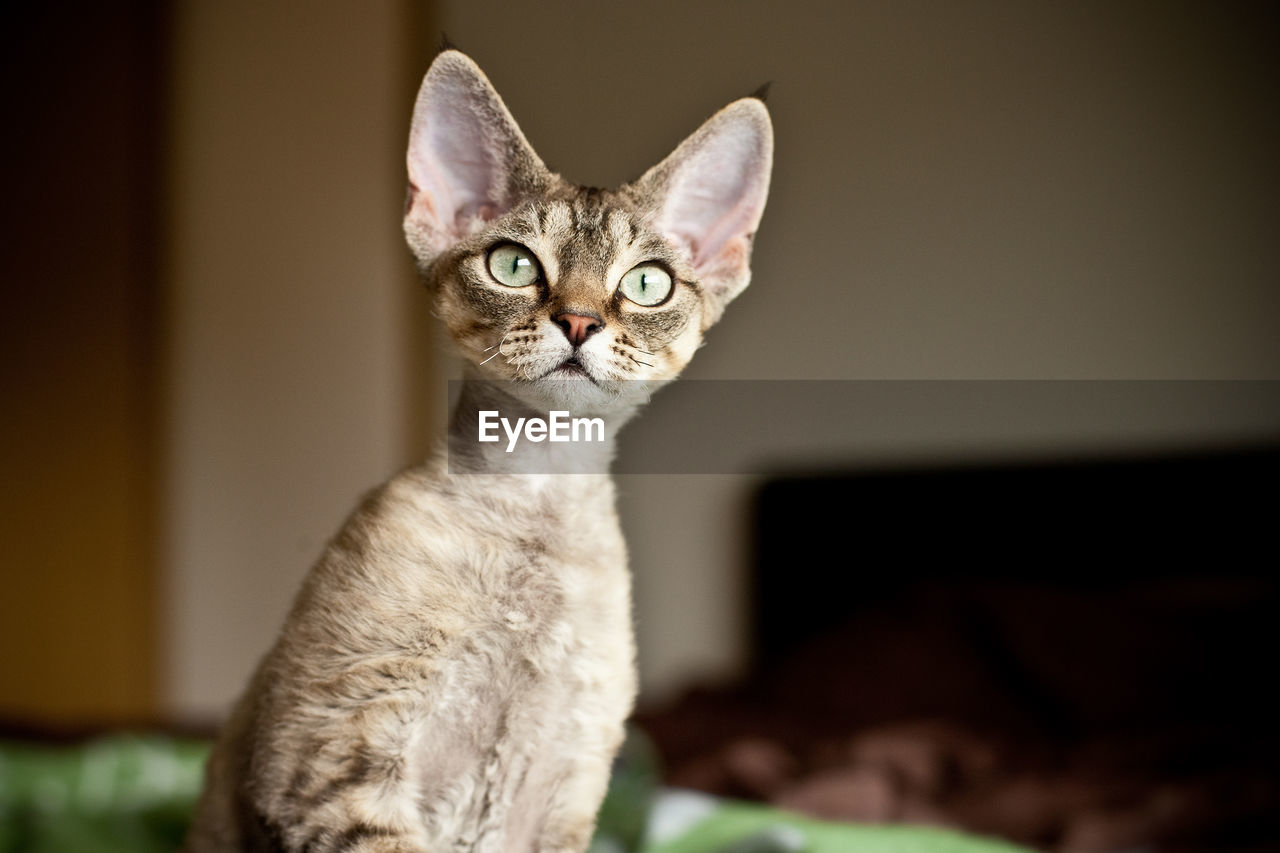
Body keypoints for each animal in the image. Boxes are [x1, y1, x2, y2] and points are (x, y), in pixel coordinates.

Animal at [183, 48, 768, 850]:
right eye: (513, 265)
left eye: (647, 283)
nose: (579, 321)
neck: (538, 508)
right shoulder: (334, 753)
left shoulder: (562, 792)